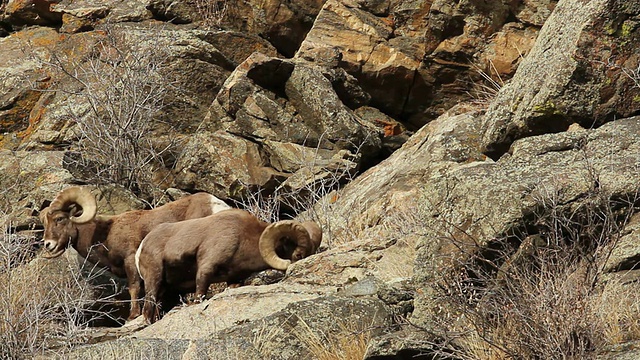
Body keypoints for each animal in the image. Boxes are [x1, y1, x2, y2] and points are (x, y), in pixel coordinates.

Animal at [40, 187, 230, 320]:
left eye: (59, 219)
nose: (48, 244)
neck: (105, 234)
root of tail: (216, 205)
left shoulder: (130, 261)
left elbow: (134, 287)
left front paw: (133, 315)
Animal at [138, 208, 322, 324]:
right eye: (298, 255)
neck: (243, 238)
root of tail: (142, 246)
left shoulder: (233, 280)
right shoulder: (206, 269)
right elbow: (200, 294)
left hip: (169, 293)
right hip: (154, 280)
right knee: (148, 309)